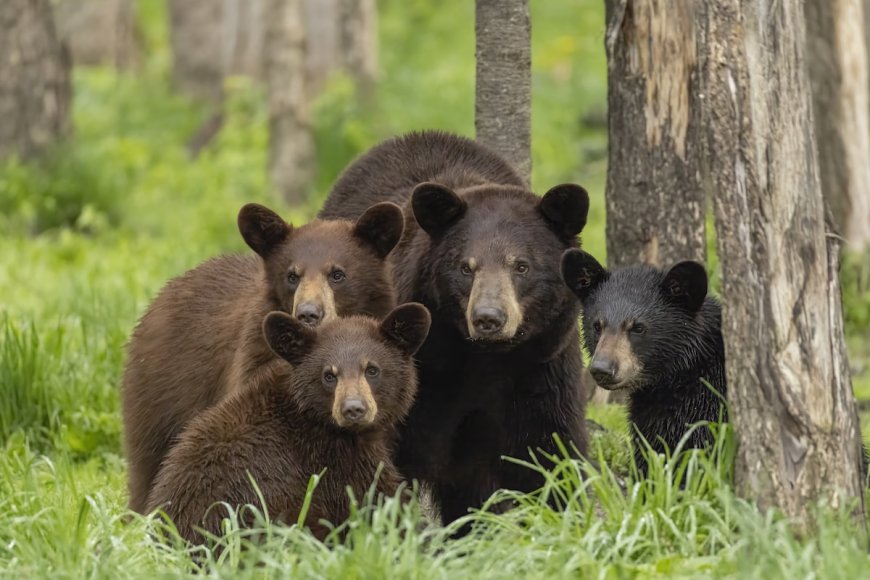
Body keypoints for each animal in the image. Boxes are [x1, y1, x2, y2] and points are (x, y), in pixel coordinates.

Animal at [319, 130, 590, 528]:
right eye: (466, 266)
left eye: (521, 265)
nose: (489, 318)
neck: (484, 359)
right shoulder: (417, 373)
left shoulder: (542, 370)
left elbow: (551, 454)